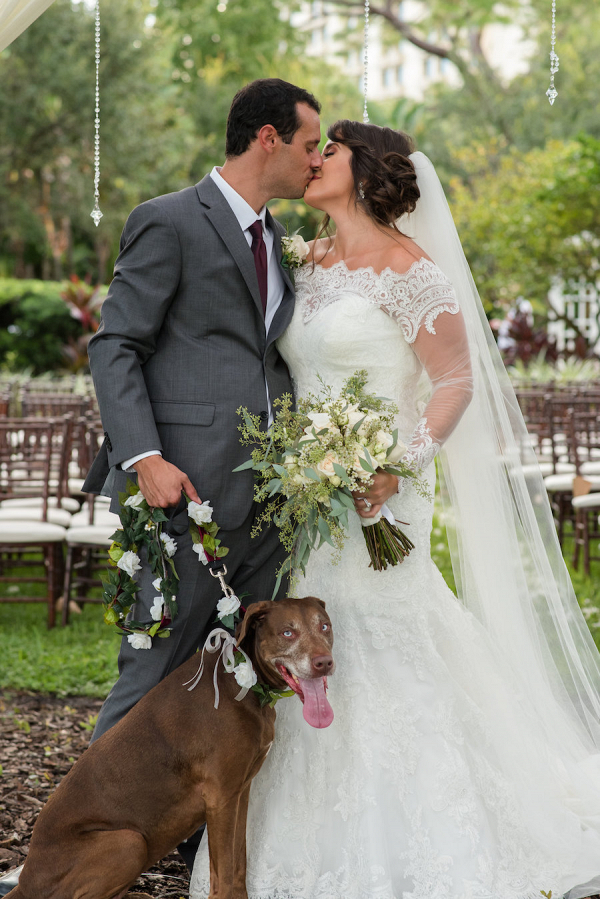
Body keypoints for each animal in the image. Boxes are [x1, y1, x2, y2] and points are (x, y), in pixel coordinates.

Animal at [7, 596, 336, 899]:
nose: (324, 663)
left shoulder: (240, 792)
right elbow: (223, 873)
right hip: (128, 841)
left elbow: (239, 864)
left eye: (324, 626)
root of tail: (27, 881)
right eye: (287, 633)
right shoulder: (221, 797)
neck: (241, 680)